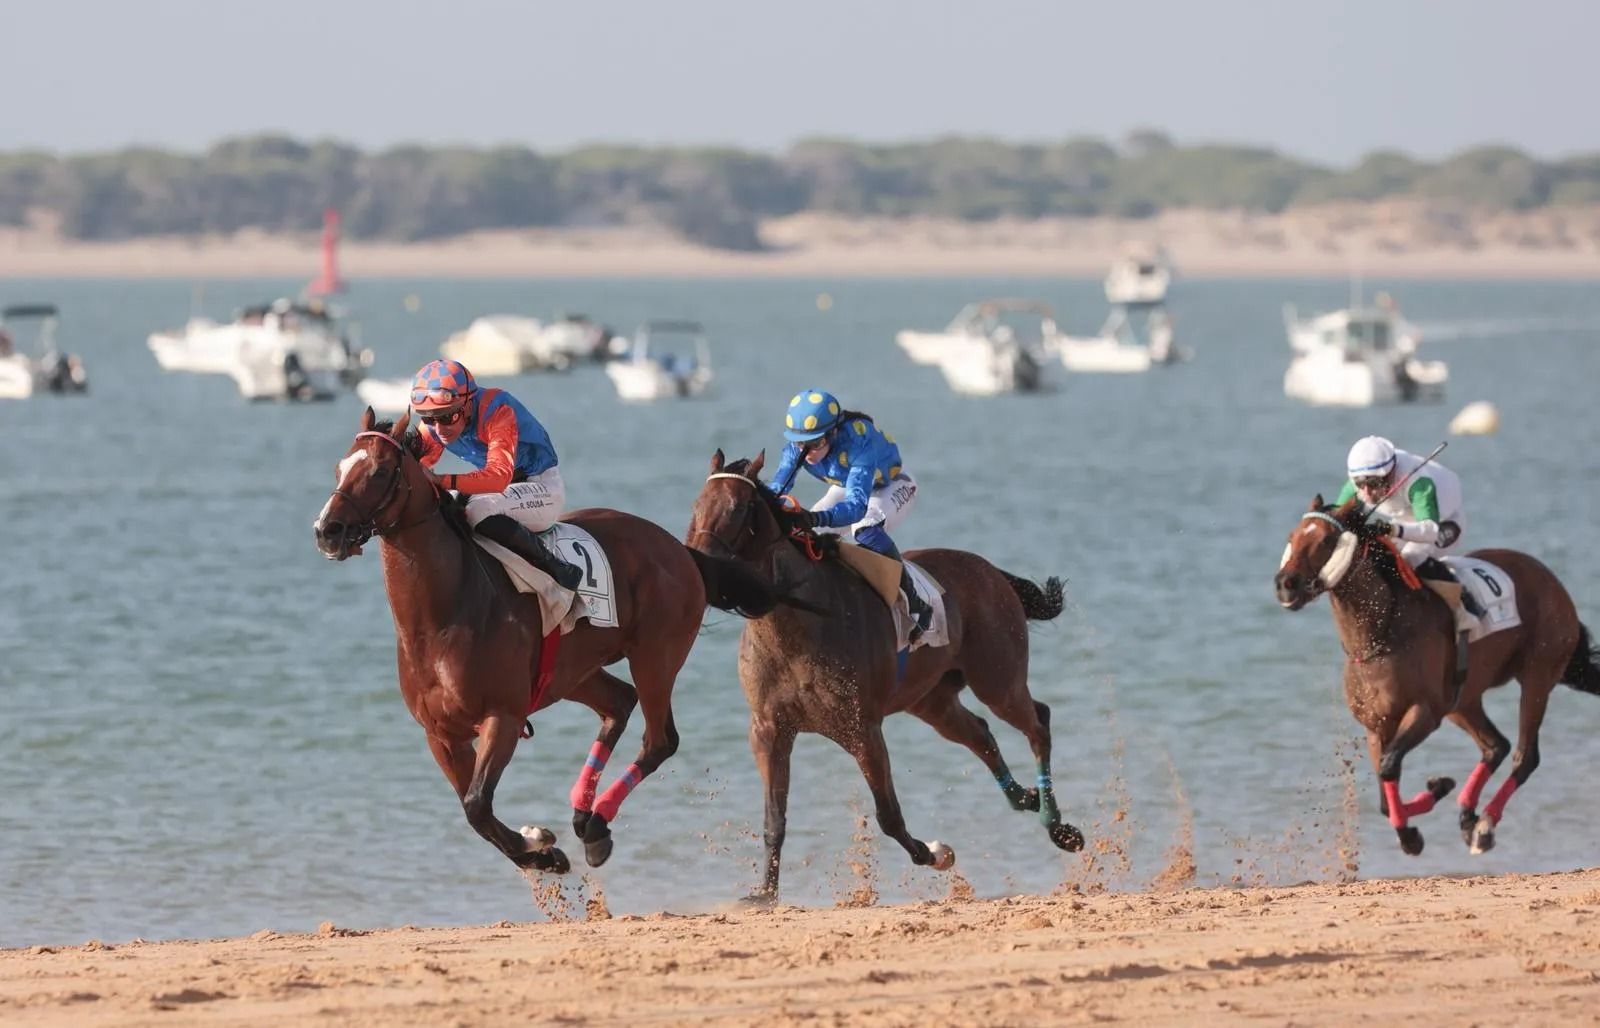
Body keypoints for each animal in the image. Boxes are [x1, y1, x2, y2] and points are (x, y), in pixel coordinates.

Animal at [313, 409, 783, 876]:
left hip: (655, 656)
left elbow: (476, 805)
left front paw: (539, 847)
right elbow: (474, 810)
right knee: (619, 704)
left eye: (379, 470)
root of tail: (682, 551)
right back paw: (584, 818)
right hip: (573, 672)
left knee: (659, 739)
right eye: (339, 467)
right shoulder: (441, 735)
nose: (327, 530)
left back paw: (596, 823)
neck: (439, 622)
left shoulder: (503, 715)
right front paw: (538, 848)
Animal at [685, 450, 1085, 902]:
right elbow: (775, 820)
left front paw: (936, 853)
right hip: (931, 701)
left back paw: (1058, 827)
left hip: (998, 680)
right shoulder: (769, 730)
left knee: (1038, 724)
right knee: (981, 734)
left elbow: (888, 815)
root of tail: (991, 571)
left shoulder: (862, 728)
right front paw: (764, 894)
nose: (698, 566)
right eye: (697, 506)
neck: (798, 619)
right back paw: (1026, 798)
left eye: (737, 510)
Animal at [1275, 495, 1600, 856]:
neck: (1381, 632)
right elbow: (1385, 793)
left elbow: (1390, 765)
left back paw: (1484, 825)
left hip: (1537, 676)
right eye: (1292, 537)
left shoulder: (1425, 712)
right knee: (1495, 746)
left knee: (1524, 756)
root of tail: (1551, 580)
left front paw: (1415, 827)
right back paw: (1468, 817)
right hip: (1463, 700)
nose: (1285, 584)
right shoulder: (1377, 726)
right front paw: (1432, 796)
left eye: (1326, 541)